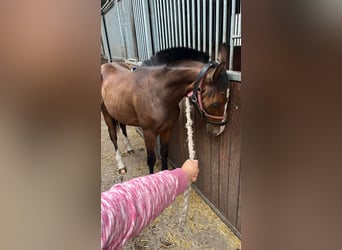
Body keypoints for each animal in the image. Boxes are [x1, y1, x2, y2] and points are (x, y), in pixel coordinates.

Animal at [100, 47, 231, 175]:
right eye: (215, 103)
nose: (219, 130)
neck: (157, 93)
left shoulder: (167, 129)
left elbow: (164, 153)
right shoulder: (148, 133)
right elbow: (151, 159)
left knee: (123, 127)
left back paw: (129, 148)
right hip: (106, 114)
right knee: (113, 137)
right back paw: (121, 166)